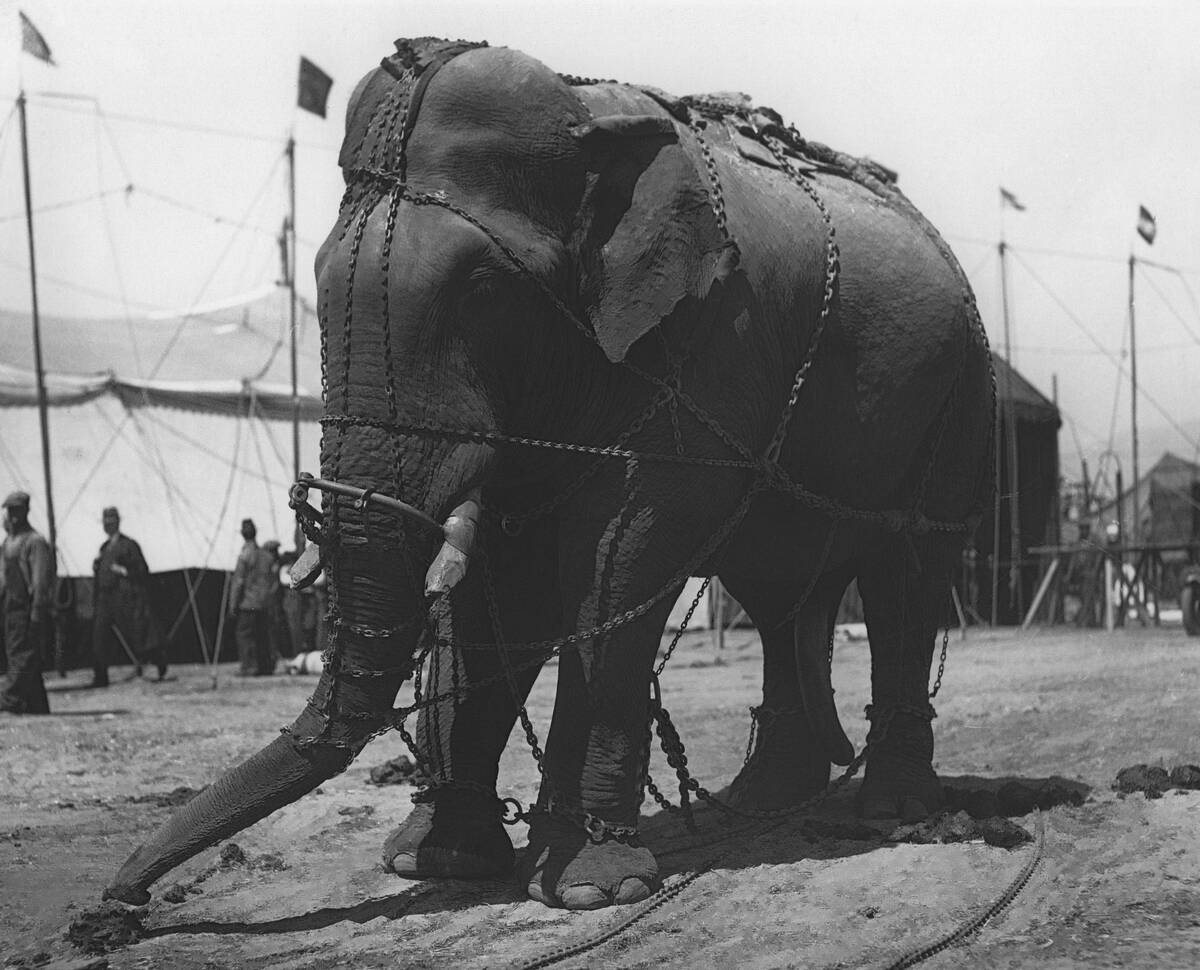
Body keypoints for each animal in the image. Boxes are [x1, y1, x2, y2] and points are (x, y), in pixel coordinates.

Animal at [105, 38, 993, 912]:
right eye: (318, 282)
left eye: (482, 288)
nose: (120, 903)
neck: (592, 125)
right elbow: (501, 583)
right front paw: (434, 863)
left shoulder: (707, 347)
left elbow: (619, 560)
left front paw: (590, 888)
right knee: (782, 592)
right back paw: (762, 800)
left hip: (958, 399)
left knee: (906, 576)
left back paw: (893, 810)